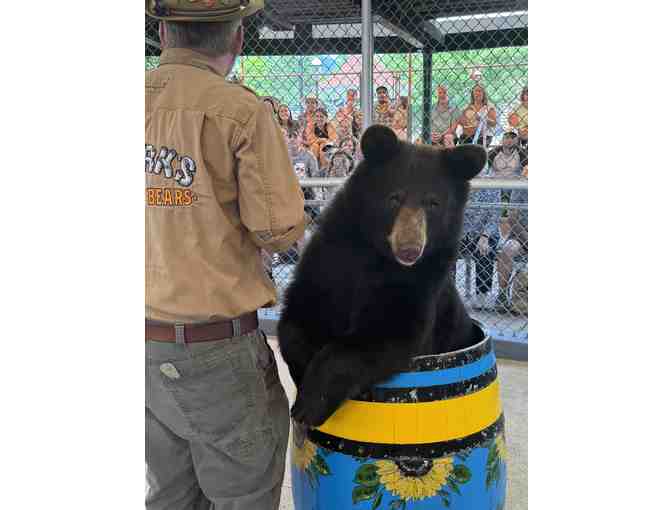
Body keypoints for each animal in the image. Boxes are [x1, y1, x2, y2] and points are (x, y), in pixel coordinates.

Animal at [277, 124, 486, 428]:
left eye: (434, 203)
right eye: (394, 197)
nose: (410, 249)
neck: (377, 256)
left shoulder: (420, 282)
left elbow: (389, 332)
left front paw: (311, 403)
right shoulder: (331, 257)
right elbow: (298, 315)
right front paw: (302, 370)